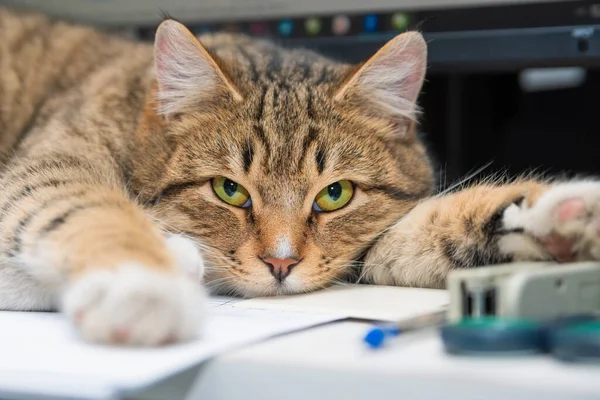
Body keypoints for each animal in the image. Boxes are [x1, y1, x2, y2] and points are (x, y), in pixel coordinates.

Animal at [1, 7, 600, 346]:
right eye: (229, 190)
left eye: (335, 194)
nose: (281, 264)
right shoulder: (41, 173)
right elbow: (85, 209)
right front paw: (143, 284)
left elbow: (424, 231)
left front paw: (559, 218)